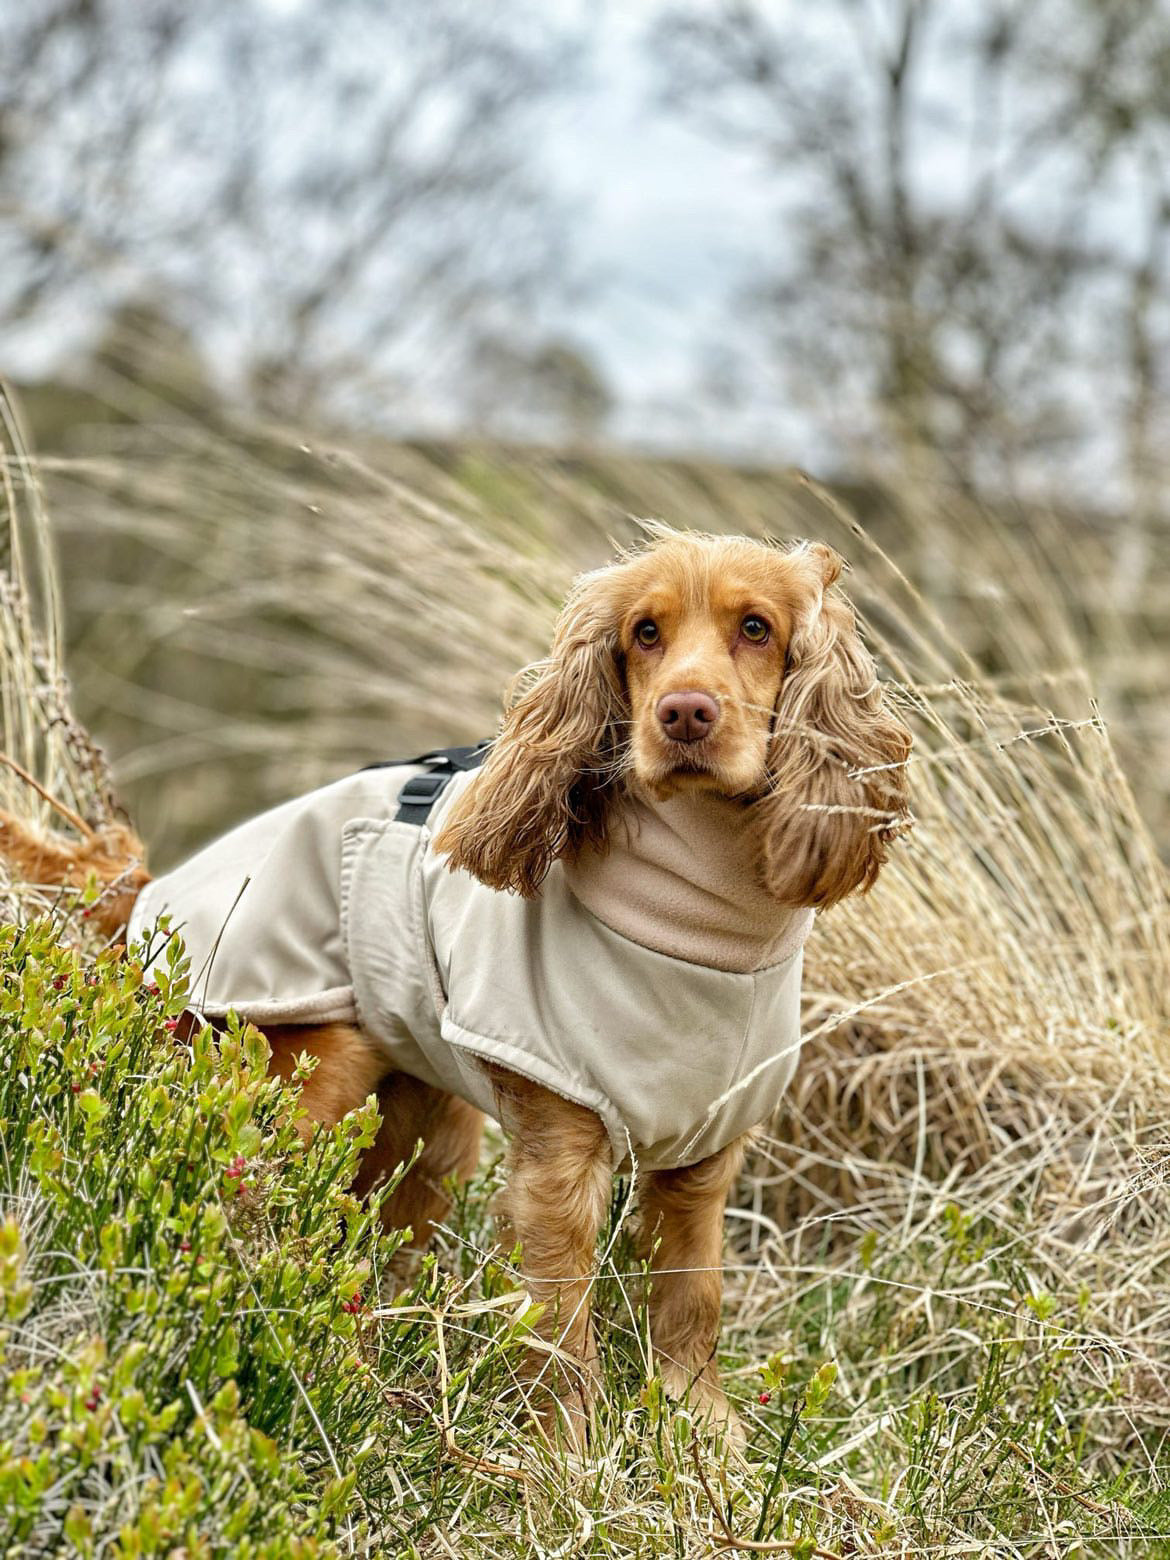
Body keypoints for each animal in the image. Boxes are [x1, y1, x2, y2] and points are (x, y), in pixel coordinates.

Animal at [0, 530, 917, 1441]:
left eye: (756, 628)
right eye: (645, 633)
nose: (684, 713)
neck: (704, 931)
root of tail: (148, 893)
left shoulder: (704, 1160)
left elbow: (693, 1302)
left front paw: (706, 1436)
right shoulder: (559, 1159)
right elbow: (561, 1328)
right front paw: (567, 1456)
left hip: (427, 1125)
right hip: (302, 1073)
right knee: (250, 1202)